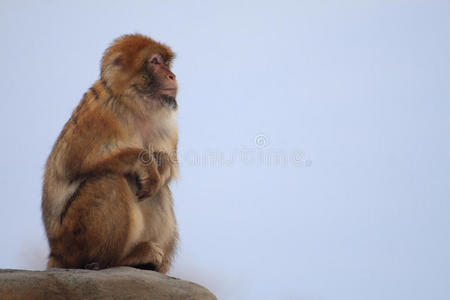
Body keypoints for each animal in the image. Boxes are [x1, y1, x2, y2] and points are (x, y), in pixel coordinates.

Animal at [41, 33, 179, 274]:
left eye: (166, 63)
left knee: (158, 191)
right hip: (73, 240)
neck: (134, 104)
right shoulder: (102, 114)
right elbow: (71, 162)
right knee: (108, 180)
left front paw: (160, 165)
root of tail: (55, 253)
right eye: (154, 62)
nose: (172, 75)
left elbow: (165, 164)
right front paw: (144, 163)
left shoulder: (166, 124)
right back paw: (116, 260)